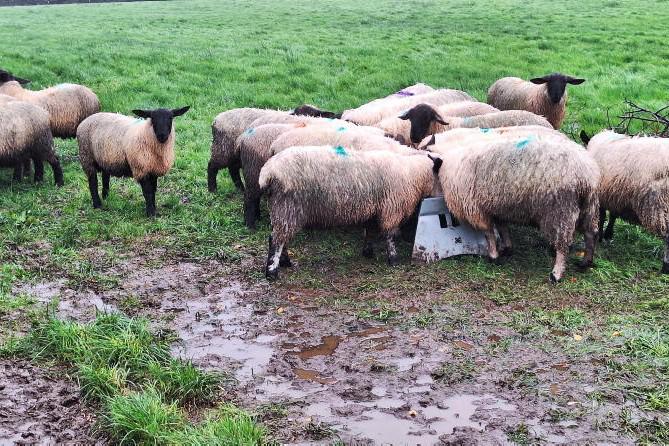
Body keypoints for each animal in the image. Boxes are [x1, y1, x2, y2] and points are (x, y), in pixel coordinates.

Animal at [258, 146, 443, 279]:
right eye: (441, 176)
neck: (412, 173)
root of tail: (268, 172)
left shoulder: (373, 209)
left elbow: (370, 231)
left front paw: (368, 252)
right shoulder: (391, 209)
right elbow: (389, 236)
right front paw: (393, 259)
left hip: (282, 210)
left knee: (280, 237)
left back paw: (285, 262)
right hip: (288, 207)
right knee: (276, 240)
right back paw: (272, 272)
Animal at [433, 134, 600, 282]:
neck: (452, 166)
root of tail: (586, 174)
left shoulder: (476, 209)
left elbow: (488, 233)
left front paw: (493, 256)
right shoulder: (497, 207)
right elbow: (502, 228)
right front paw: (507, 248)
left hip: (561, 209)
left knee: (563, 245)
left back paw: (556, 274)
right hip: (589, 206)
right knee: (590, 234)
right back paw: (586, 262)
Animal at [581, 130, 669, 273]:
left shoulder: (601, 194)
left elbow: (602, 216)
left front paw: (601, 235)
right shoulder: (615, 195)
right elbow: (613, 215)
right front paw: (608, 234)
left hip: (660, 204)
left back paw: (665, 266)